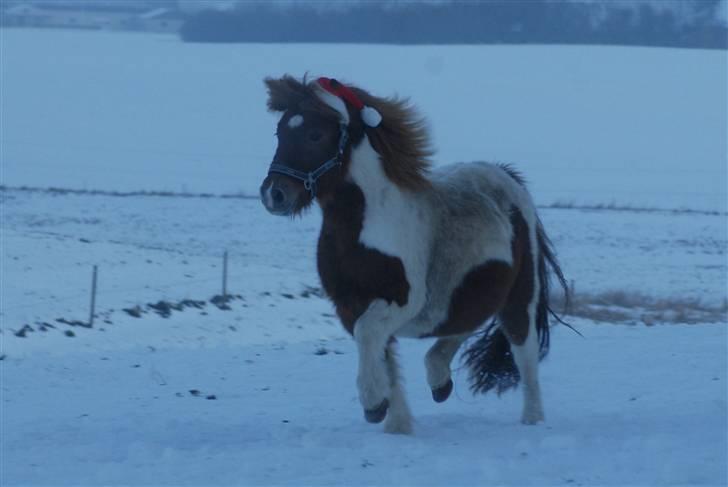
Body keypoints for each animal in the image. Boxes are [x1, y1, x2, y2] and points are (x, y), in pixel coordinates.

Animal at [260, 75, 568, 434]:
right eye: (279, 131)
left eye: (315, 134)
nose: (274, 194)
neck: (364, 229)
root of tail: (505, 175)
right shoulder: (349, 304)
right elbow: (382, 354)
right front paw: (397, 424)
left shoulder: (403, 300)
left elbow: (369, 336)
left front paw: (374, 403)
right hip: (471, 292)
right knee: (464, 323)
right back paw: (439, 379)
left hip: (521, 295)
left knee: (524, 353)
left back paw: (532, 420)